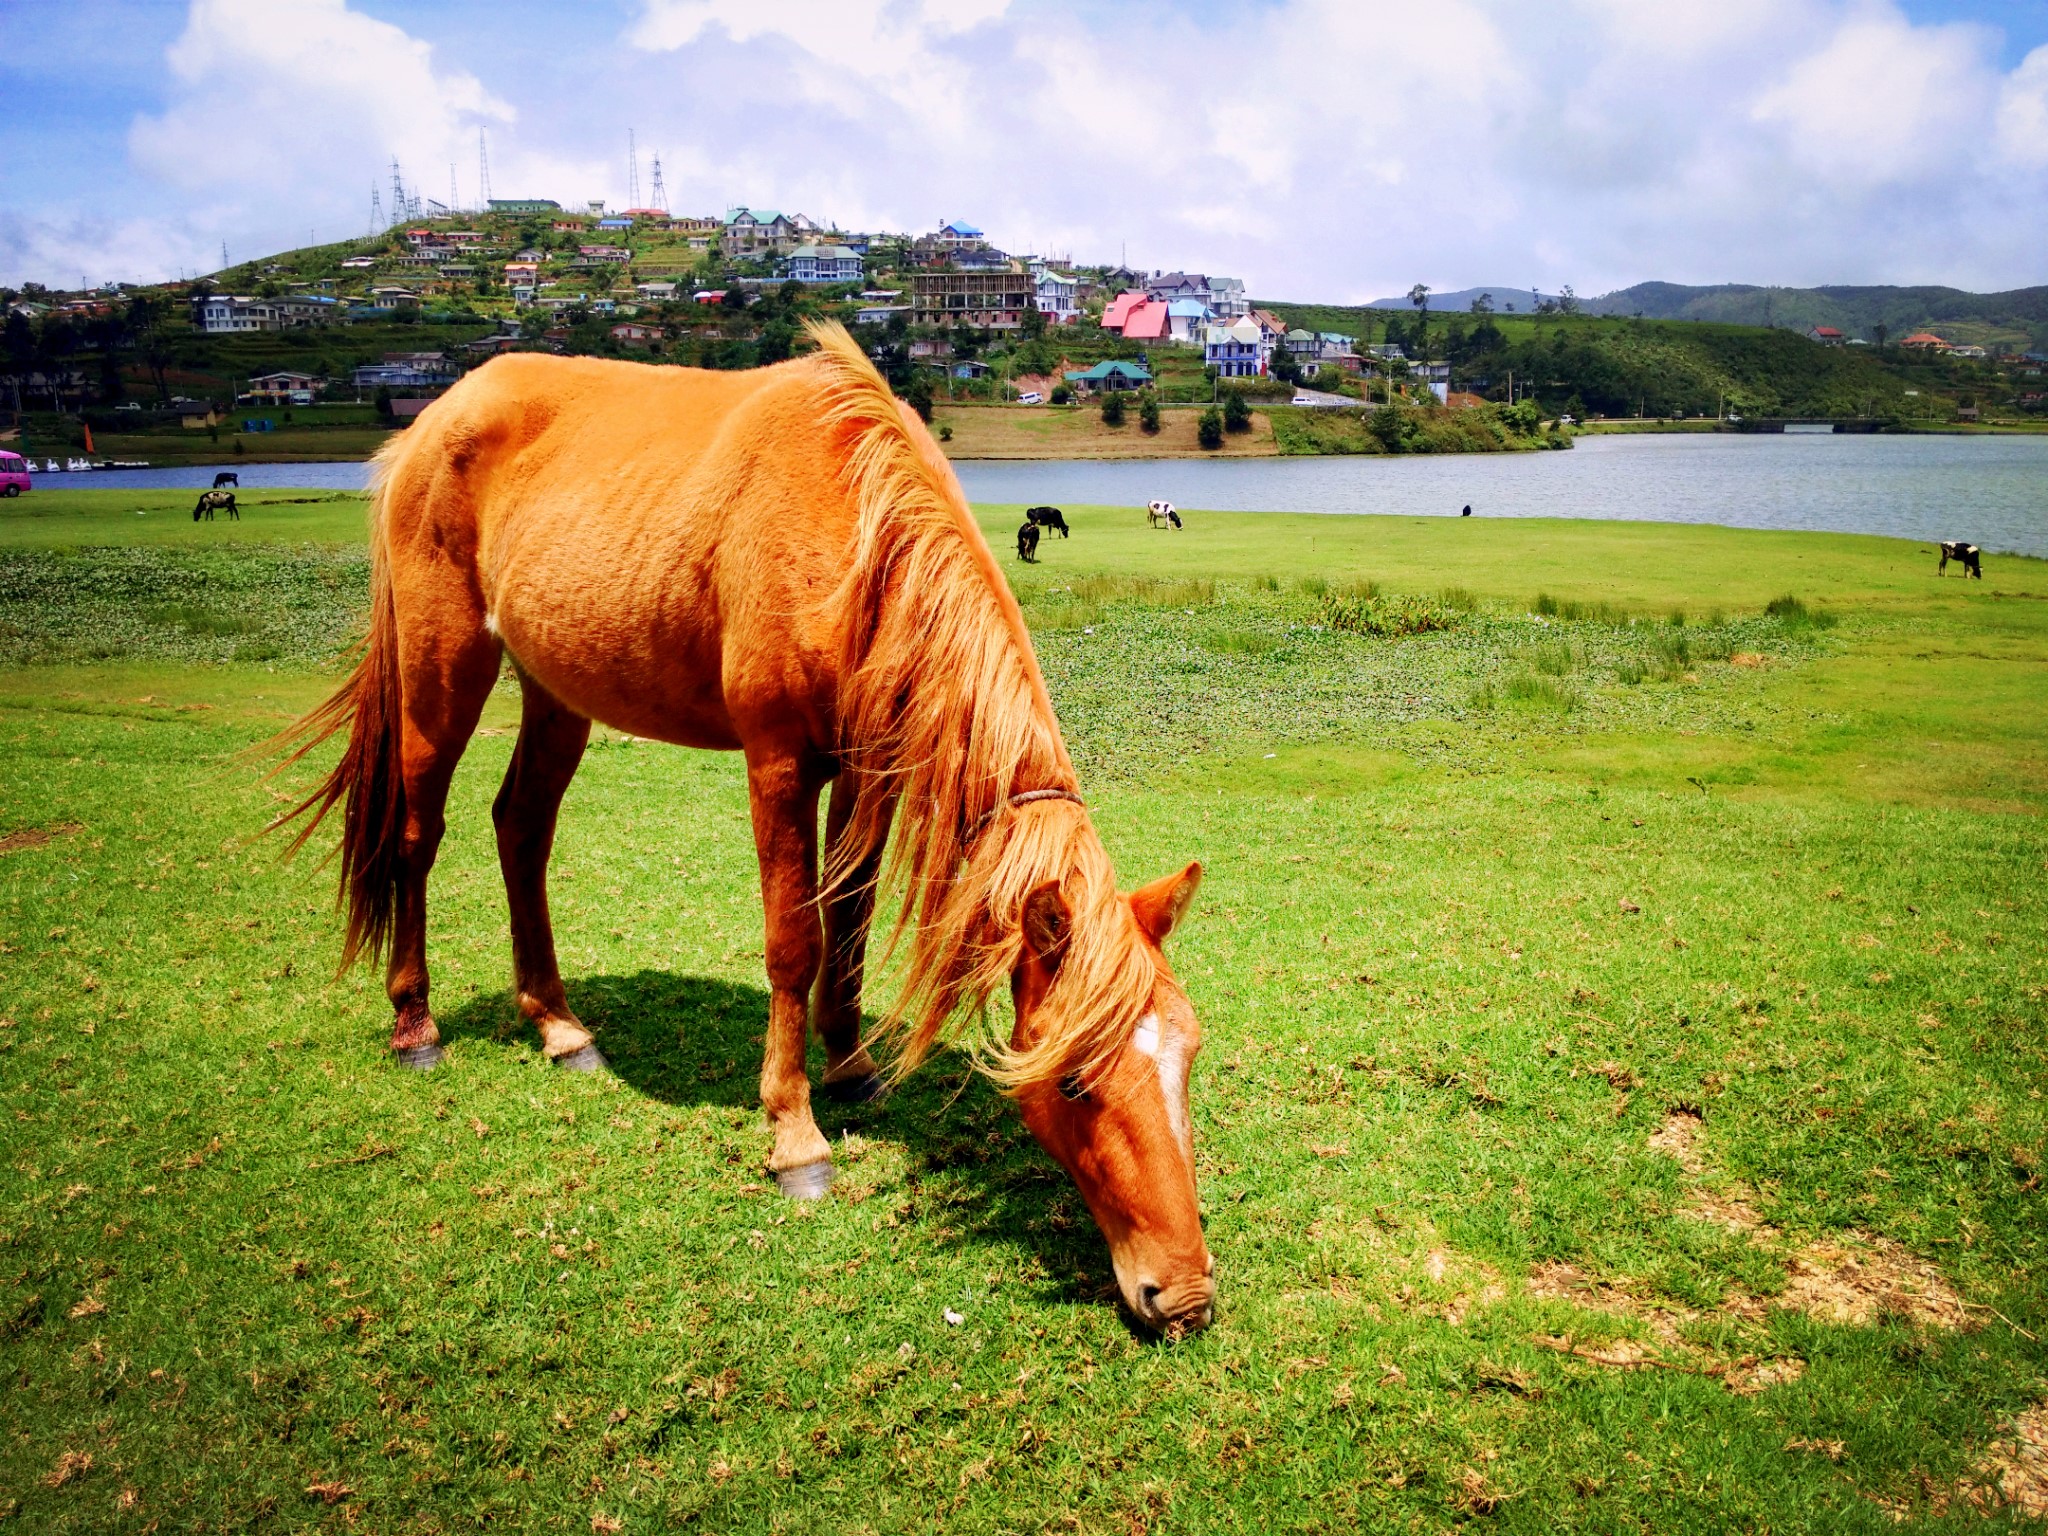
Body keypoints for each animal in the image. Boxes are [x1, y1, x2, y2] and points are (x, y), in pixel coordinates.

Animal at [280, 325, 1220, 1335]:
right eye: (1076, 1079)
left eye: (1188, 1053)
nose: (1186, 1294)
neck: (854, 530)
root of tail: (433, 420)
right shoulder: (777, 763)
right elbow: (793, 941)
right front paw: (795, 1136)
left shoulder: (867, 770)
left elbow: (848, 920)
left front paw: (850, 1066)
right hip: (442, 667)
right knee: (418, 835)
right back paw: (414, 1021)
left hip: (554, 686)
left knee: (520, 828)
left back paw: (561, 1027)